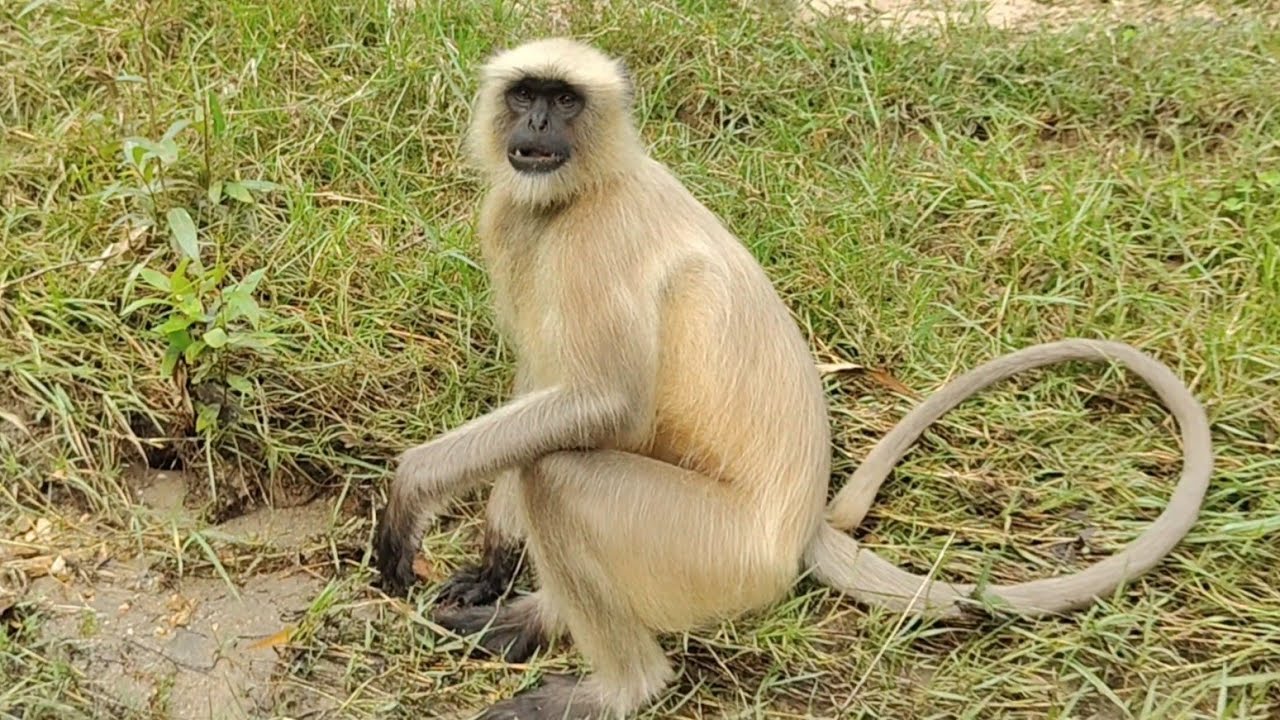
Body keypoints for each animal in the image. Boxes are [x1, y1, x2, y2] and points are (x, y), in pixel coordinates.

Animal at [372, 38, 1214, 719]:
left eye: (565, 99)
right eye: (526, 95)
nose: (541, 126)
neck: (588, 187)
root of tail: (804, 520)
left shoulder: (597, 239)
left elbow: (606, 402)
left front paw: (412, 489)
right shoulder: (514, 219)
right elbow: (544, 376)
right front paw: (495, 553)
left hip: (719, 556)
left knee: (561, 475)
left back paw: (622, 688)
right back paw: (533, 616)